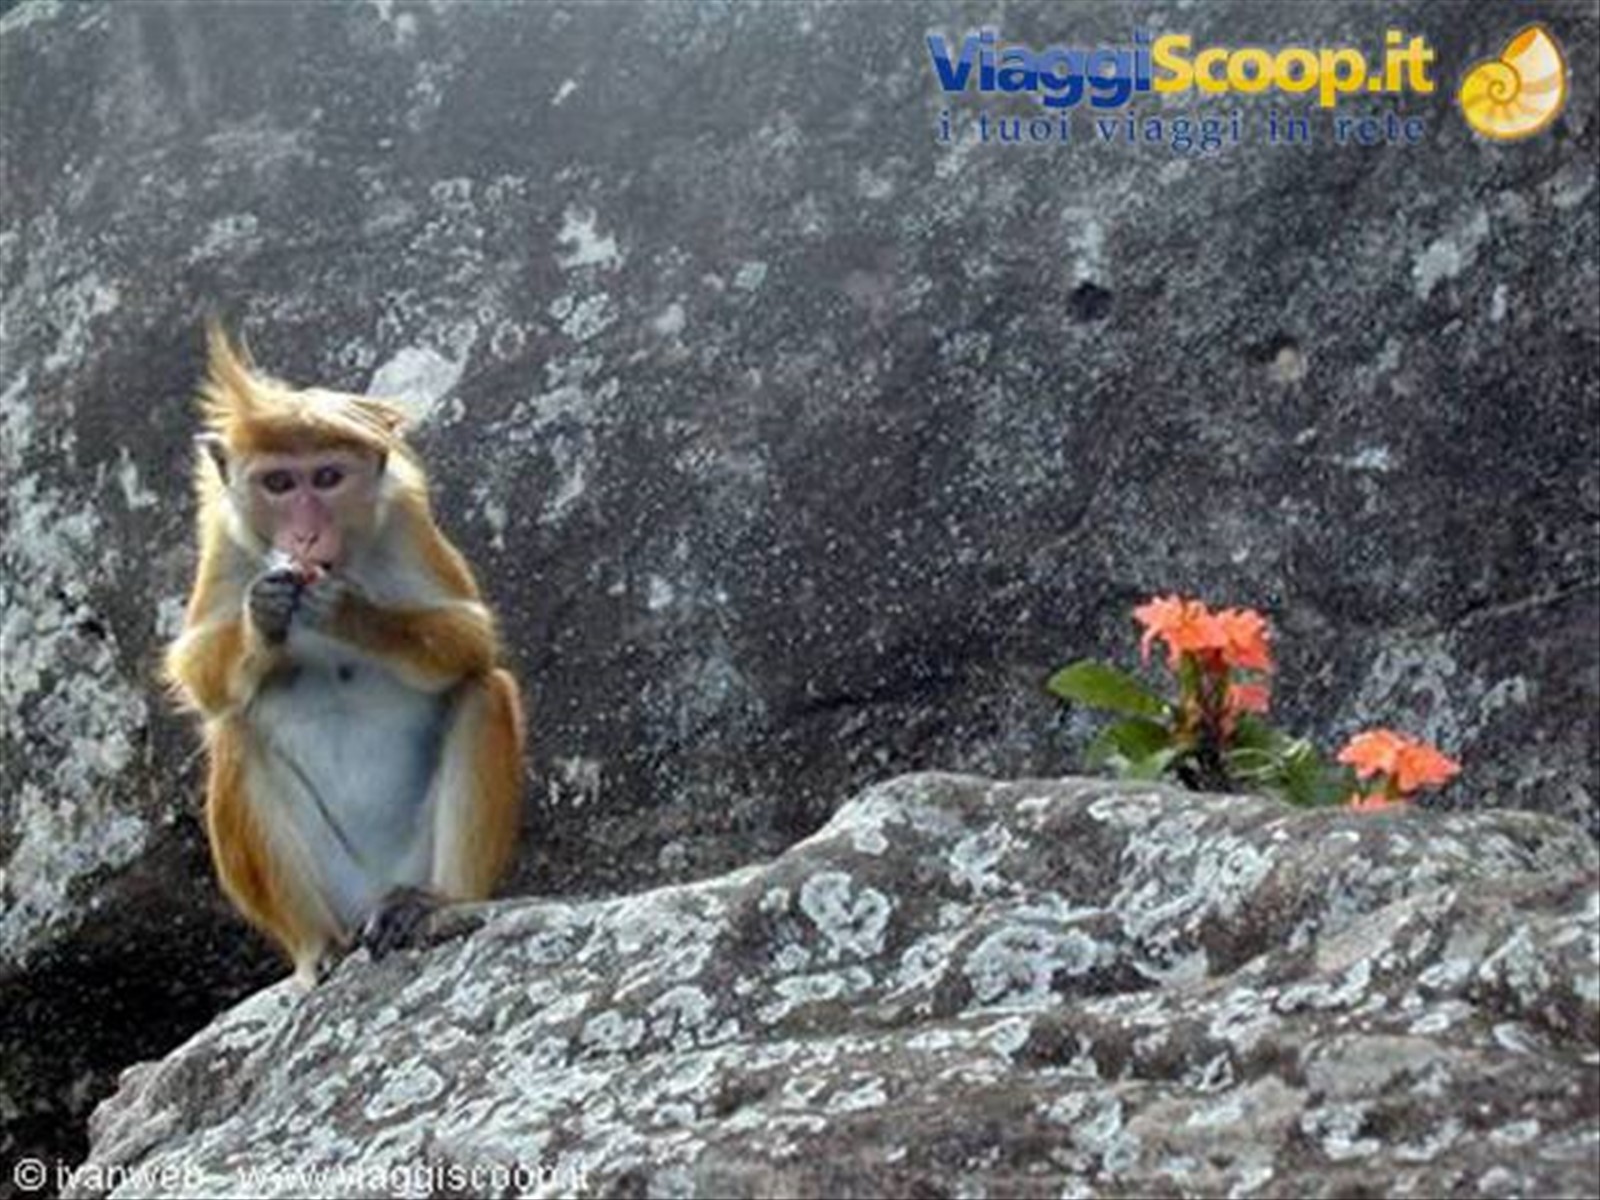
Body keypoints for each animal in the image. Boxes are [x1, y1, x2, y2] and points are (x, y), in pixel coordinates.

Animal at [164, 323, 524, 987]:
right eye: (280, 484)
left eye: (327, 477)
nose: (305, 535)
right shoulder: (223, 534)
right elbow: (197, 669)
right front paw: (262, 617)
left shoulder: (405, 517)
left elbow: (471, 635)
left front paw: (349, 612)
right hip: (332, 889)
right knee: (234, 733)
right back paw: (320, 947)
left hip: (411, 862)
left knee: (484, 689)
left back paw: (437, 905)